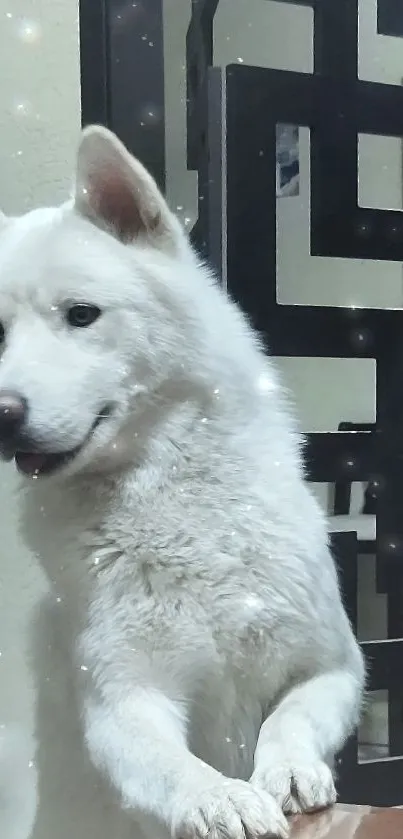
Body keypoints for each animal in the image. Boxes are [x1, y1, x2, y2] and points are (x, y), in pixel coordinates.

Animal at [0, 124, 366, 839]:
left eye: (81, 314)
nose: (1, 413)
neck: (174, 508)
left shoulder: (334, 667)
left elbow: (290, 719)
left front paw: (286, 771)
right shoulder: (124, 702)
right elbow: (173, 767)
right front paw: (220, 798)